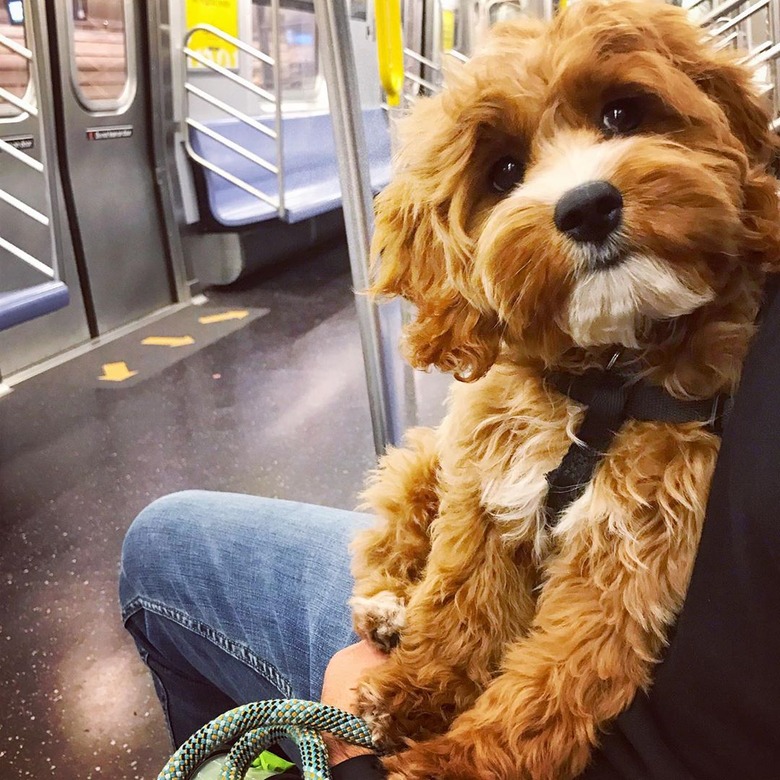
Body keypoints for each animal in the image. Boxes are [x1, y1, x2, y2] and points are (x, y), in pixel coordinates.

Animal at [348, 3, 780, 776]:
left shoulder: (635, 547)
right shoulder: (481, 491)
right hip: (423, 465)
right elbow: (457, 607)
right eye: (503, 171)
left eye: (622, 112)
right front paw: (413, 691)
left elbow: (555, 676)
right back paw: (388, 609)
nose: (586, 208)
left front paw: (455, 759)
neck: (601, 378)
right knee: (390, 544)